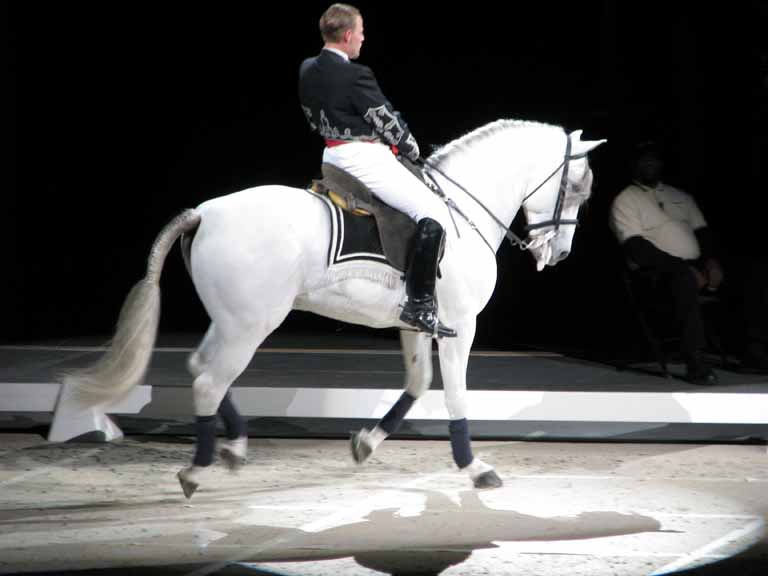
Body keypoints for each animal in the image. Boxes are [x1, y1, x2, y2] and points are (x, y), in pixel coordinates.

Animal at [64, 119, 608, 498]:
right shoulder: (461, 324)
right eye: (579, 187)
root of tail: (205, 212)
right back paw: (198, 471)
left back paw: (233, 448)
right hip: (250, 324)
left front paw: (366, 443)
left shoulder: (415, 323)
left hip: (230, 319)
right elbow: (455, 396)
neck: (460, 209)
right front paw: (475, 468)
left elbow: (418, 383)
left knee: (202, 369)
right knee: (209, 381)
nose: (560, 254)